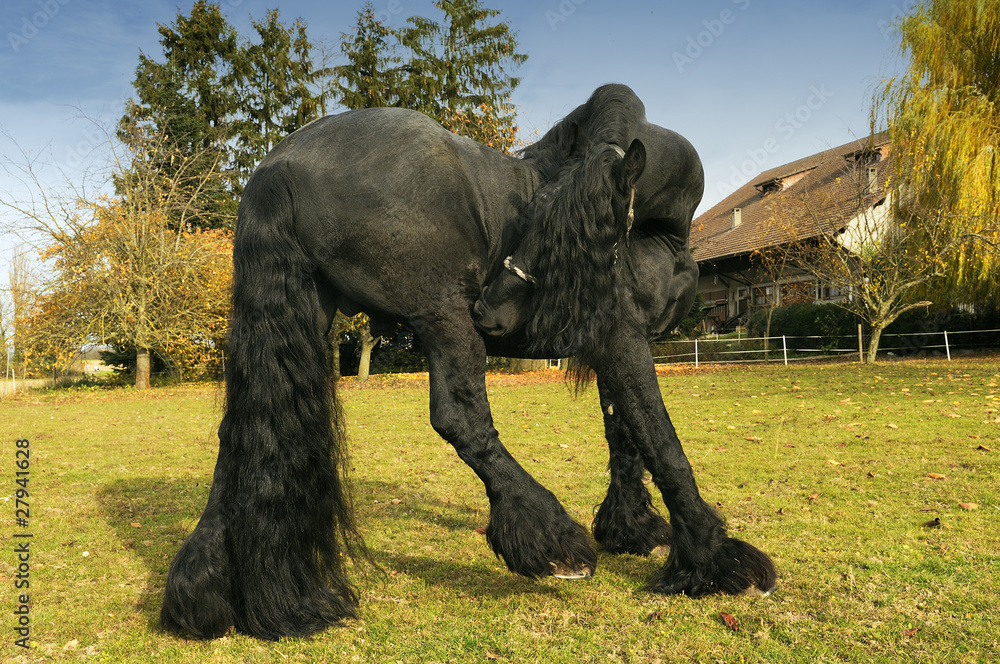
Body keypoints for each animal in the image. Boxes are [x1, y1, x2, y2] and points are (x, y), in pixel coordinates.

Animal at [161, 84, 776, 641]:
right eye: (536, 220)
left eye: (569, 234)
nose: (492, 310)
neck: (660, 233)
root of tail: (280, 163)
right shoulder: (622, 336)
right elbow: (659, 436)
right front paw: (713, 558)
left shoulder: (613, 343)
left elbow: (624, 433)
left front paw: (632, 529)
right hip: (441, 315)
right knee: (459, 417)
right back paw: (554, 542)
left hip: (307, 320)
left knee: (241, 435)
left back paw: (203, 595)